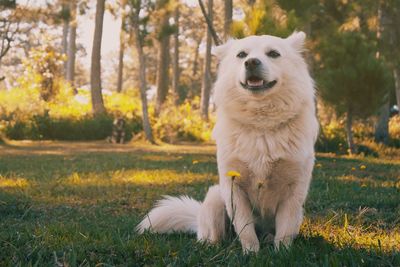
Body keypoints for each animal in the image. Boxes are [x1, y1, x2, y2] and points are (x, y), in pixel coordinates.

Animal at [138, 31, 318, 253]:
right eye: (242, 55)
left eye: (274, 54)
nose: (251, 62)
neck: (261, 126)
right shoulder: (234, 187)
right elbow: (245, 227)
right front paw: (251, 252)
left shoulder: (294, 190)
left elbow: (285, 229)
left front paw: (282, 252)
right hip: (216, 197)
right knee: (212, 236)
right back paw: (212, 244)